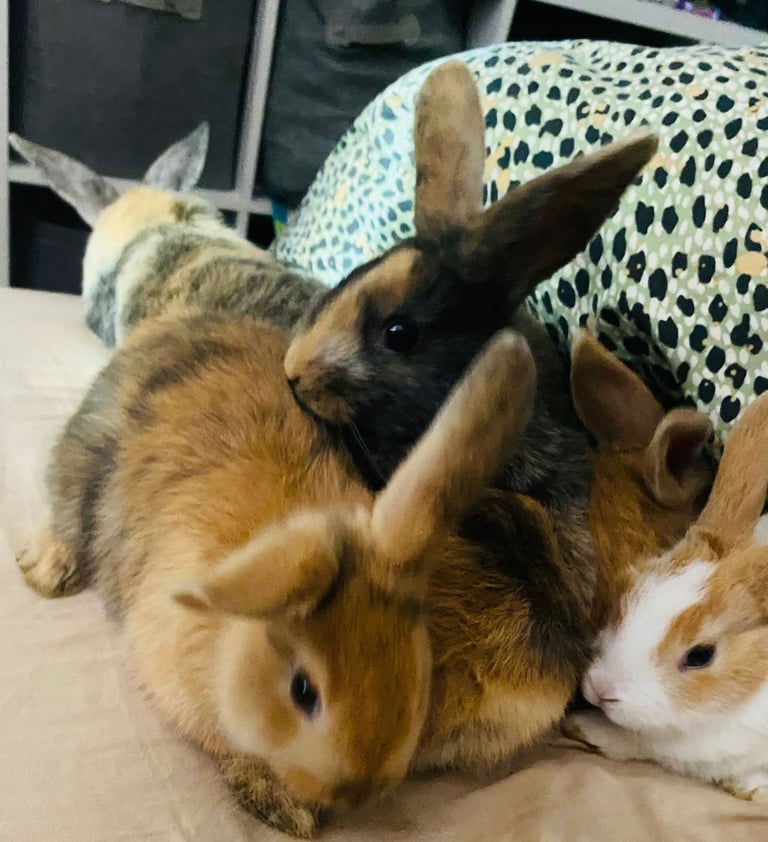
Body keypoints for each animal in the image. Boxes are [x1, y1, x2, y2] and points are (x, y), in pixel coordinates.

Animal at [17, 308, 536, 836]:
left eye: (419, 668)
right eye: (303, 692)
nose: (357, 794)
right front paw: (285, 807)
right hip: (83, 458)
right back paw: (46, 570)